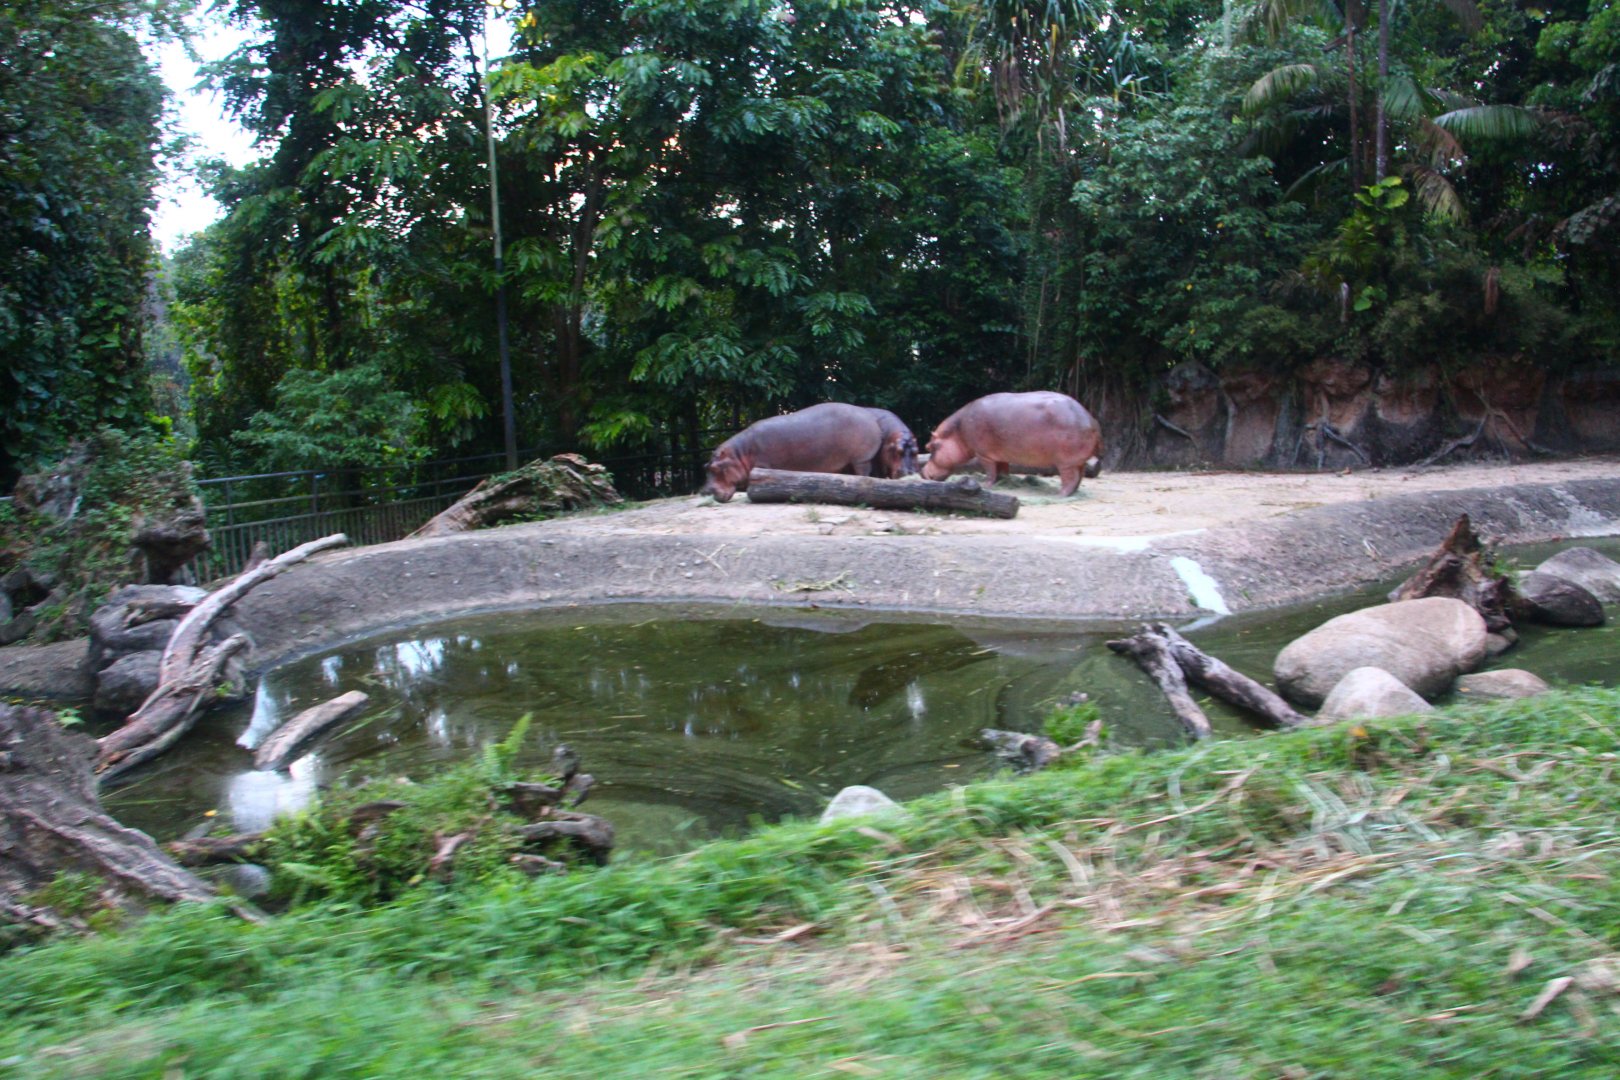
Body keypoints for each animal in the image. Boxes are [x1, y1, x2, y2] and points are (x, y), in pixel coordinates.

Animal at [701, 402, 883, 502]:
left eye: (714, 468)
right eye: (706, 466)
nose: (707, 492)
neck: (740, 453)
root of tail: (871, 416)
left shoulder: (763, 465)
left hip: (861, 459)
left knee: (864, 474)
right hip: (850, 461)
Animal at [921, 391, 1103, 497]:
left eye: (930, 447)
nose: (922, 472)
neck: (957, 432)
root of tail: (1092, 421)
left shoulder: (984, 455)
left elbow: (990, 471)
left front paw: (986, 485)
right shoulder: (1000, 454)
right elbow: (1002, 468)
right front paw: (1004, 482)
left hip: (1065, 462)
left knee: (1070, 478)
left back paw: (1060, 495)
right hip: (1078, 461)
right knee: (1079, 476)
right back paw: (1073, 493)